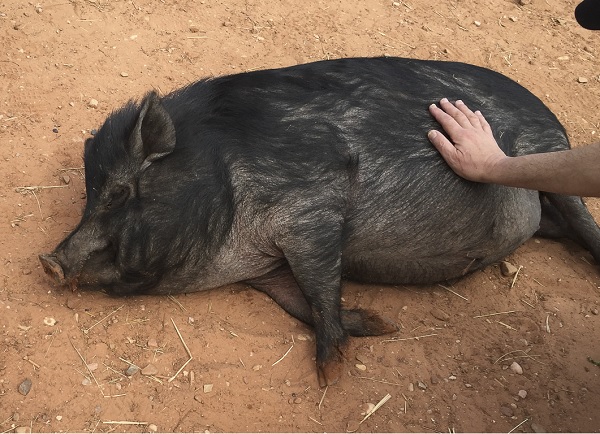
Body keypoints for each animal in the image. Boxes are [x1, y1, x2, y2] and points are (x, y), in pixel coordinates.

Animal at [39, 57, 600, 386]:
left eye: (119, 192)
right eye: (90, 197)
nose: (49, 260)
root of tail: (549, 113)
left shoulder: (312, 206)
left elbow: (319, 284)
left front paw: (331, 373)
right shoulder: (266, 268)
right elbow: (298, 303)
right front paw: (381, 324)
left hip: (545, 149)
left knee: (582, 220)